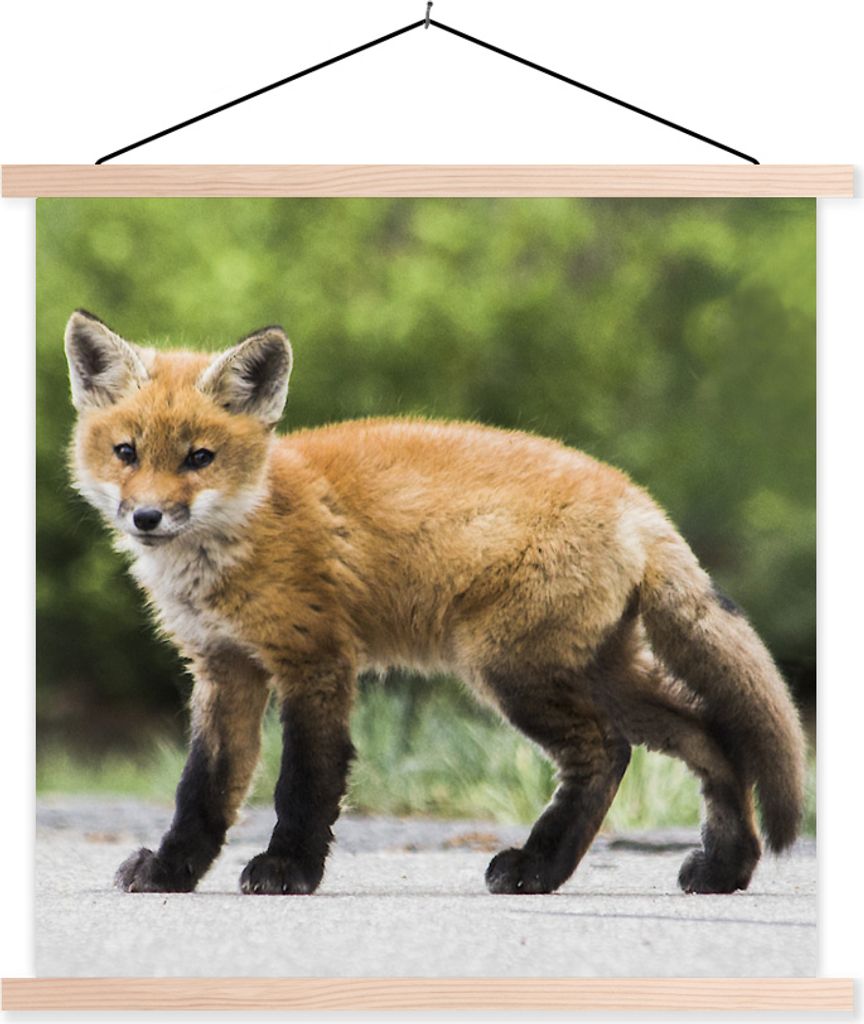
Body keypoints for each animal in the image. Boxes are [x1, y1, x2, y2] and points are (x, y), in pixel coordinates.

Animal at [62, 309, 807, 898]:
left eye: (200, 458)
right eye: (126, 452)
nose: (148, 517)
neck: (244, 532)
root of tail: (636, 498)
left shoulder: (316, 660)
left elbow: (305, 782)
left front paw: (288, 869)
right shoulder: (225, 668)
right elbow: (203, 790)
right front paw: (171, 871)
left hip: (511, 669)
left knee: (608, 751)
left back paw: (536, 867)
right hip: (597, 671)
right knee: (706, 736)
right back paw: (720, 866)